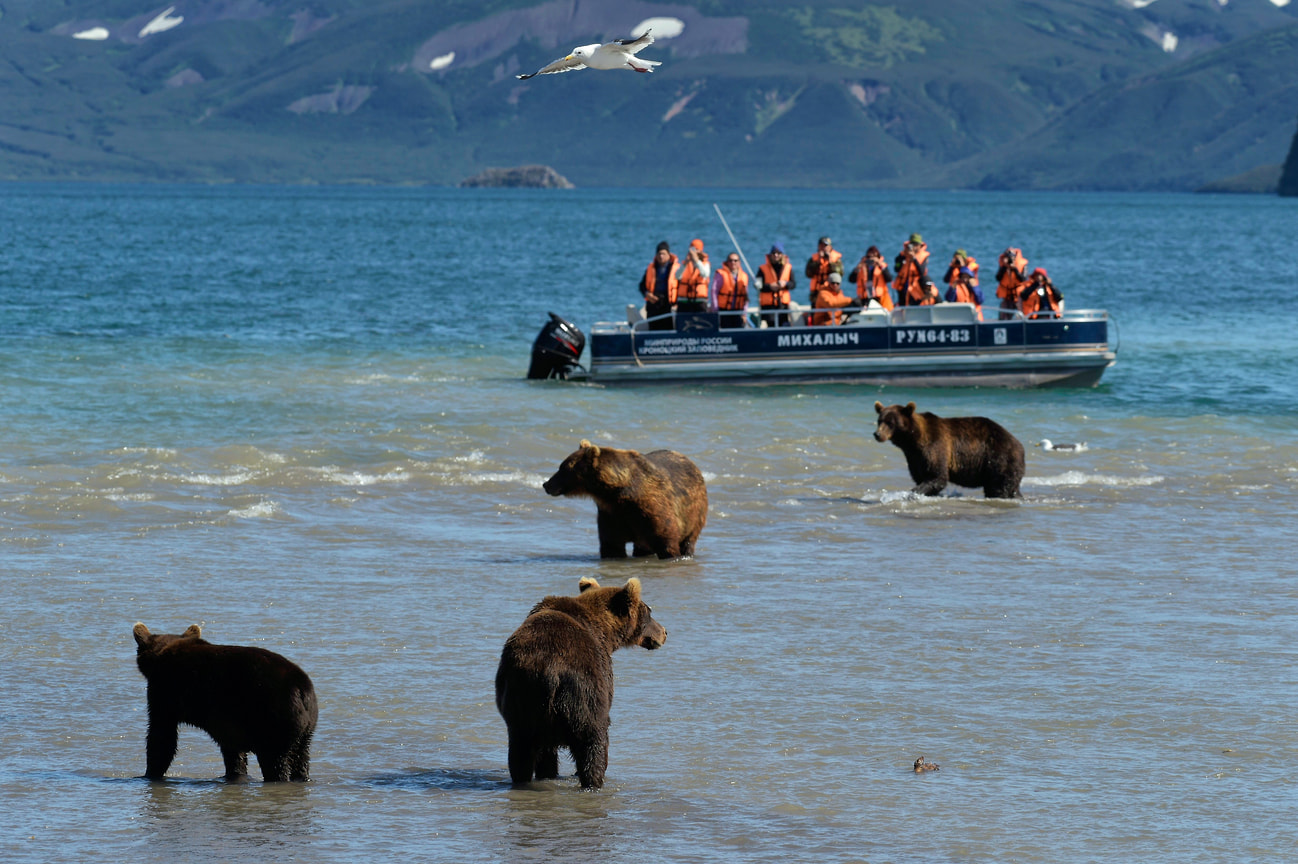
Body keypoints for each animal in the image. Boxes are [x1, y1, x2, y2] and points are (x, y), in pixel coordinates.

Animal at [130, 620, 318, 778]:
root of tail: (302, 689)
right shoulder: (228, 717)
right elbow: (233, 750)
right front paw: (236, 772)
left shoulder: (166, 691)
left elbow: (161, 734)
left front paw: (149, 773)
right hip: (305, 729)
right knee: (301, 757)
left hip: (272, 717)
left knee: (275, 759)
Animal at [495, 570, 669, 788]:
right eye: (650, 611)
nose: (664, 632)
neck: (605, 632)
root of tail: (550, 670)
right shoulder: (603, 670)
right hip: (583, 694)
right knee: (594, 743)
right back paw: (593, 782)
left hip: (522, 698)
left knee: (521, 753)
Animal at [545, 438, 711, 557]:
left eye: (564, 468)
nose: (546, 484)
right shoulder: (611, 514)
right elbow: (612, 545)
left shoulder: (651, 508)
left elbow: (666, 540)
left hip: (695, 513)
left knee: (689, 539)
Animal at [872, 402, 1022, 498]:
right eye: (879, 421)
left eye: (890, 422)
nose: (877, 434)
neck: (912, 440)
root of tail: (1019, 444)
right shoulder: (914, 457)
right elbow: (921, 476)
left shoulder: (935, 446)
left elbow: (937, 476)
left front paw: (911, 493)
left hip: (998, 458)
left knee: (1000, 487)